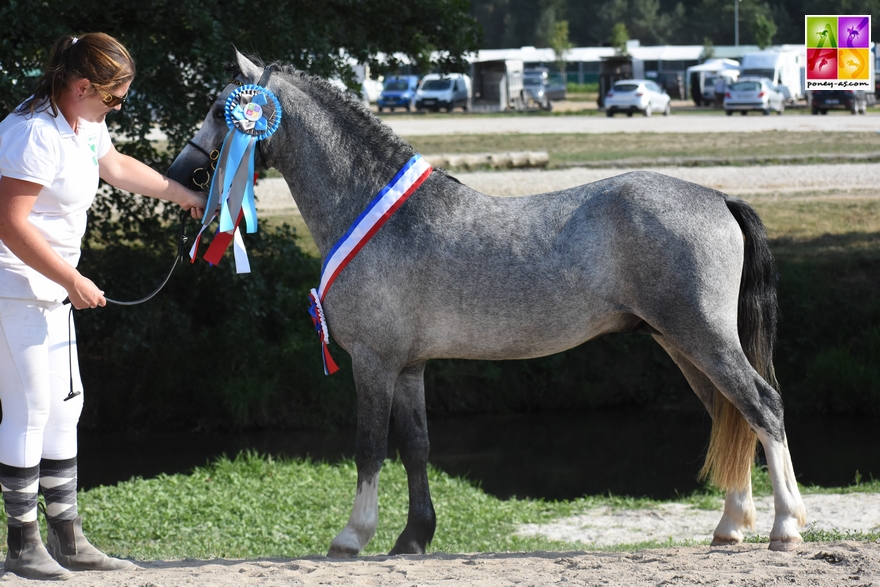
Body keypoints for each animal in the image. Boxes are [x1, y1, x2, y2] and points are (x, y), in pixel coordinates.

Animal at [168, 50, 808, 556]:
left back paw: (785, 526)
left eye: (223, 109)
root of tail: (718, 197)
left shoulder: (373, 362)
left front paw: (353, 536)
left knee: (764, 405)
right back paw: (730, 527)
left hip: (703, 337)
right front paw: (414, 537)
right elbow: (417, 448)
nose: (184, 172)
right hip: (681, 343)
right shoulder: (410, 366)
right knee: (730, 413)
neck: (376, 209)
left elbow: (369, 447)